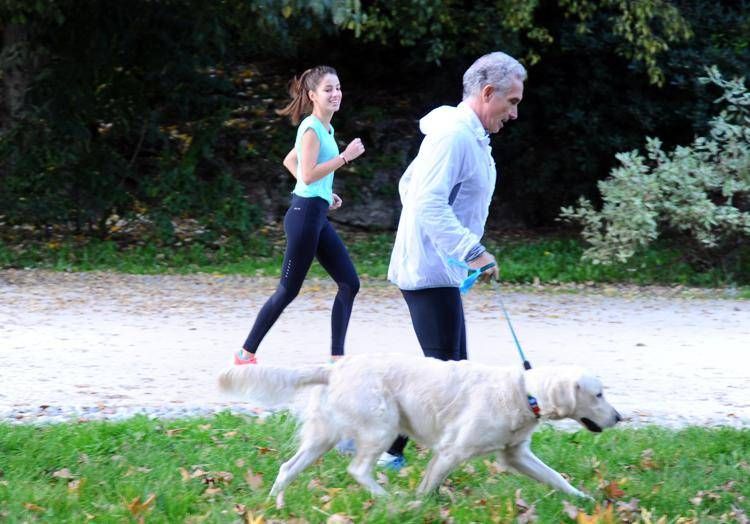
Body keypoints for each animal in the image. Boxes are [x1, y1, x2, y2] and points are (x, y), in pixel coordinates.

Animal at [219, 354, 624, 506]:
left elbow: (556, 477)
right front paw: (418, 507)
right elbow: (429, 486)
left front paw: (586, 500)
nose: (619, 418)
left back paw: (275, 501)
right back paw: (386, 499)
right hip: (382, 424)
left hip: (323, 437)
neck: (523, 392)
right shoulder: (451, 450)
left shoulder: (516, 455)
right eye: (599, 394)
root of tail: (335, 367)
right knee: (358, 469)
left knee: (288, 467)